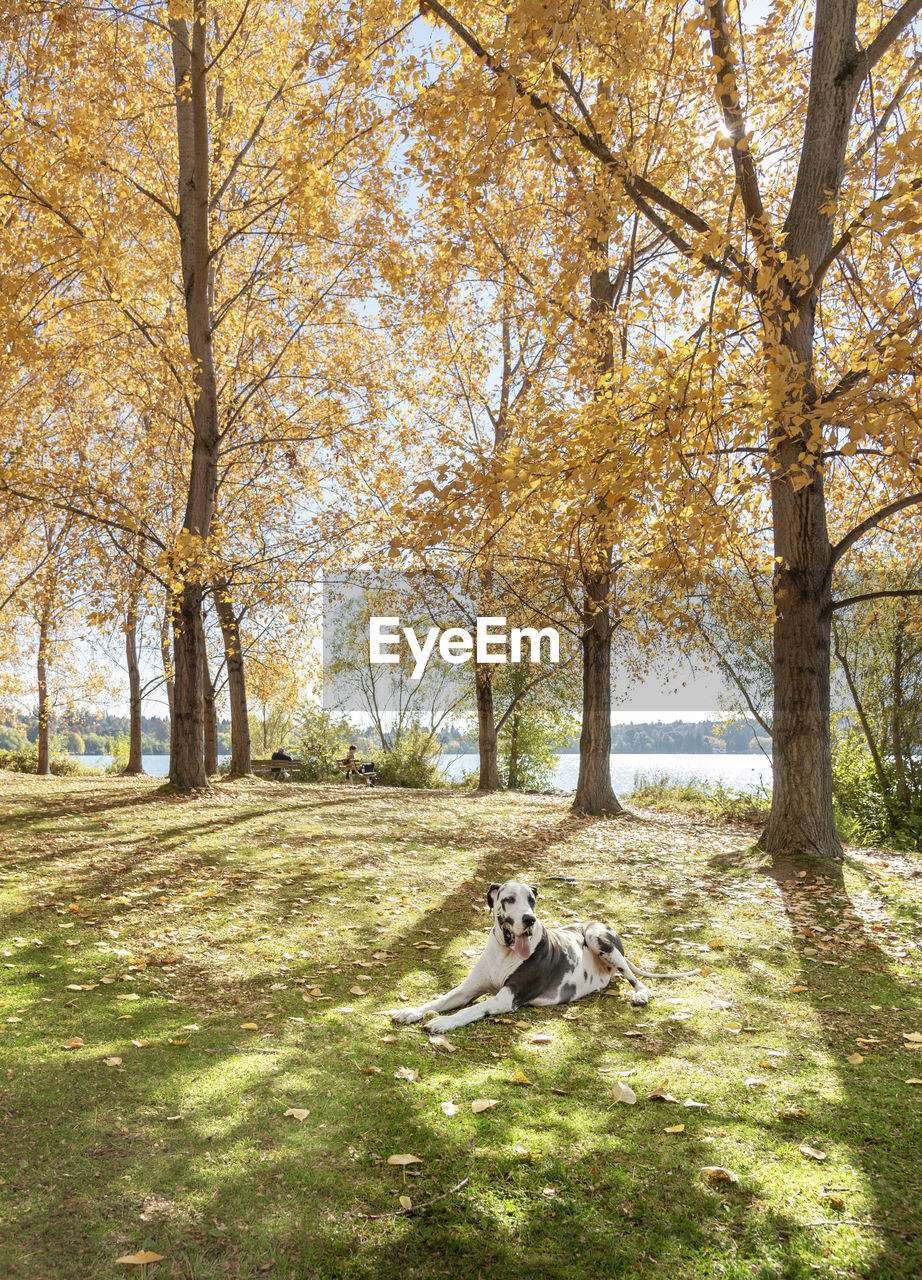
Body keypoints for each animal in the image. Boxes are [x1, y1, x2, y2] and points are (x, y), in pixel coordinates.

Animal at [384, 875, 696, 1034]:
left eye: (532, 900)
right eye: (509, 899)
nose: (530, 919)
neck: (505, 952)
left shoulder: (506, 998)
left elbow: (471, 1009)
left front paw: (443, 1022)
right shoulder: (467, 989)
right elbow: (440, 999)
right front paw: (411, 1011)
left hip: (598, 937)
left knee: (634, 978)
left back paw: (640, 993)